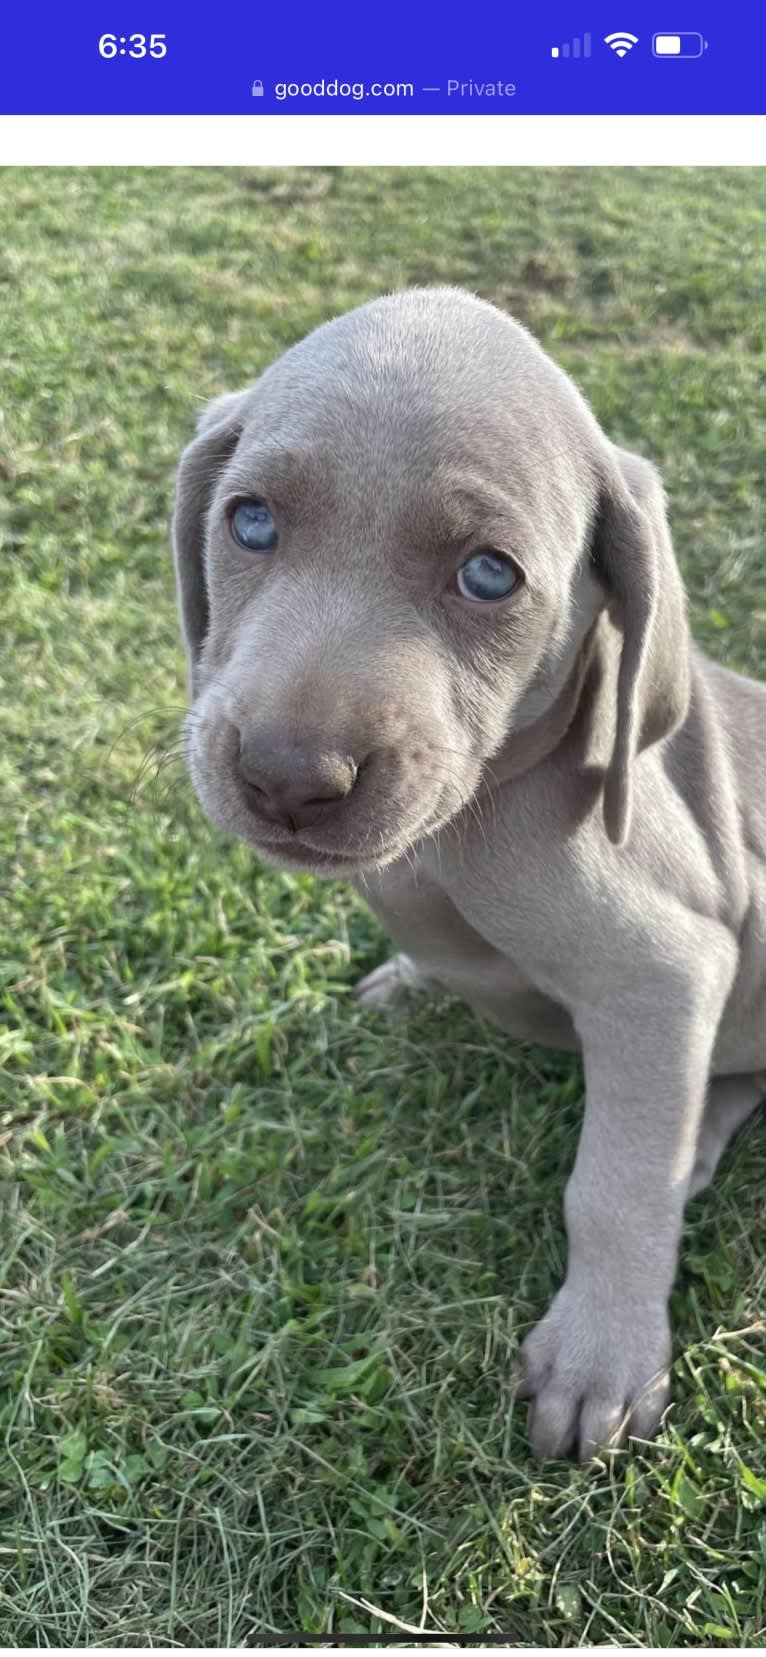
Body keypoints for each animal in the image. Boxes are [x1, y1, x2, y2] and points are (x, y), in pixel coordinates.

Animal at [174, 288, 766, 1464]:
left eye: (489, 573)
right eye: (249, 521)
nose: (286, 777)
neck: (459, 830)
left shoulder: (666, 967)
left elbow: (616, 1182)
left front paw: (600, 1354)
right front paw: (410, 978)